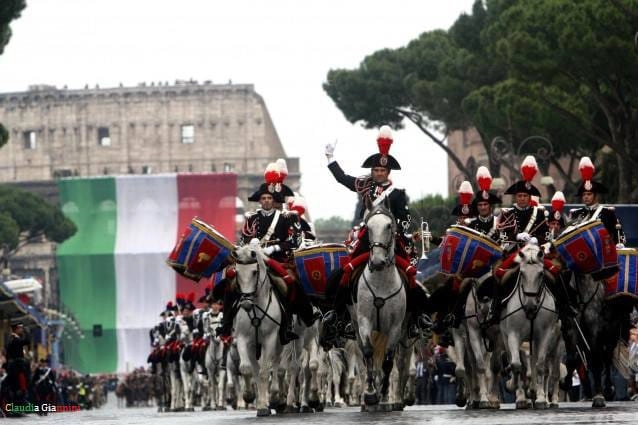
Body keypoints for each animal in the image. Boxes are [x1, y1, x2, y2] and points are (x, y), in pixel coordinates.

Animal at [235, 240, 284, 416]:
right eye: (236, 272)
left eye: (255, 272)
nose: (245, 303)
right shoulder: (243, 339)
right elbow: (247, 369)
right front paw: (250, 397)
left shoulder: (270, 338)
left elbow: (264, 372)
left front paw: (266, 403)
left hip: (279, 343)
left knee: (276, 364)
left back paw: (275, 397)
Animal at [348, 205, 408, 410]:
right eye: (368, 227)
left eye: (389, 226)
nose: (377, 262)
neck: (381, 281)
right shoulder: (364, 320)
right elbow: (368, 353)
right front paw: (370, 394)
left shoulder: (396, 326)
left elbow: (388, 361)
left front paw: (383, 395)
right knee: (364, 357)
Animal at [500, 242, 560, 408]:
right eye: (521, 273)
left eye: (541, 274)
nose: (530, 306)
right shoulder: (513, 335)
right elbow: (516, 365)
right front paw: (518, 393)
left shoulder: (545, 335)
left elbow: (540, 366)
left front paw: (540, 398)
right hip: (507, 336)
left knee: (547, 369)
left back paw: (543, 396)